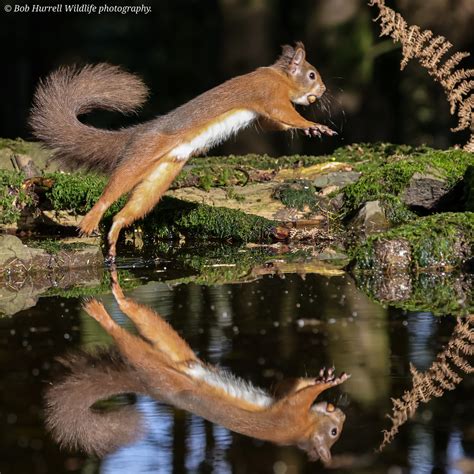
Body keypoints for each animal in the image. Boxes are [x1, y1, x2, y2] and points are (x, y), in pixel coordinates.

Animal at [30, 42, 334, 262]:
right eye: (311, 74)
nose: (323, 89)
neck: (278, 76)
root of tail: (138, 133)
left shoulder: (264, 112)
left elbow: (276, 123)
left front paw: (311, 130)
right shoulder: (269, 95)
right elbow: (286, 114)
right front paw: (314, 124)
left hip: (160, 177)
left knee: (128, 210)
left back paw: (114, 235)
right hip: (140, 157)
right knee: (112, 191)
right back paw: (90, 221)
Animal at [44, 274, 348, 462]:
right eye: (334, 433)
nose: (342, 415)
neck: (303, 429)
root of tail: (156, 388)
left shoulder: (286, 405)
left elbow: (286, 386)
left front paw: (322, 378)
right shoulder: (289, 418)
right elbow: (295, 395)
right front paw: (327, 382)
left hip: (171, 354)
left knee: (147, 325)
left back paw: (115, 300)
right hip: (157, 369)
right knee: (129, 340)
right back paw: (104, 310)